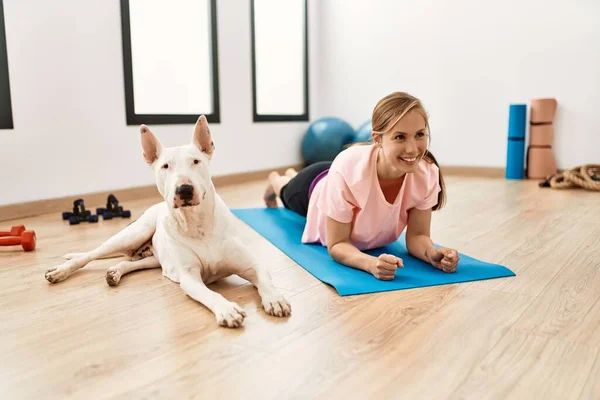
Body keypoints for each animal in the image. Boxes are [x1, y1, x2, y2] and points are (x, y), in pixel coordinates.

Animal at [45, 116, 292, 328]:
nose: (184, 189)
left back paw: (115, 272)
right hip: (133, 234)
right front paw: (227, 309)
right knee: (88, 256)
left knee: (130, 262)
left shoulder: (251, 264)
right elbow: (209, 293)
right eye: (165, 166)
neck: (197, 223)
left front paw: (275, 298)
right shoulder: (190, 277)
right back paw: (60, 271)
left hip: (155, 258)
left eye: (196, 161)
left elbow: (264, 278)